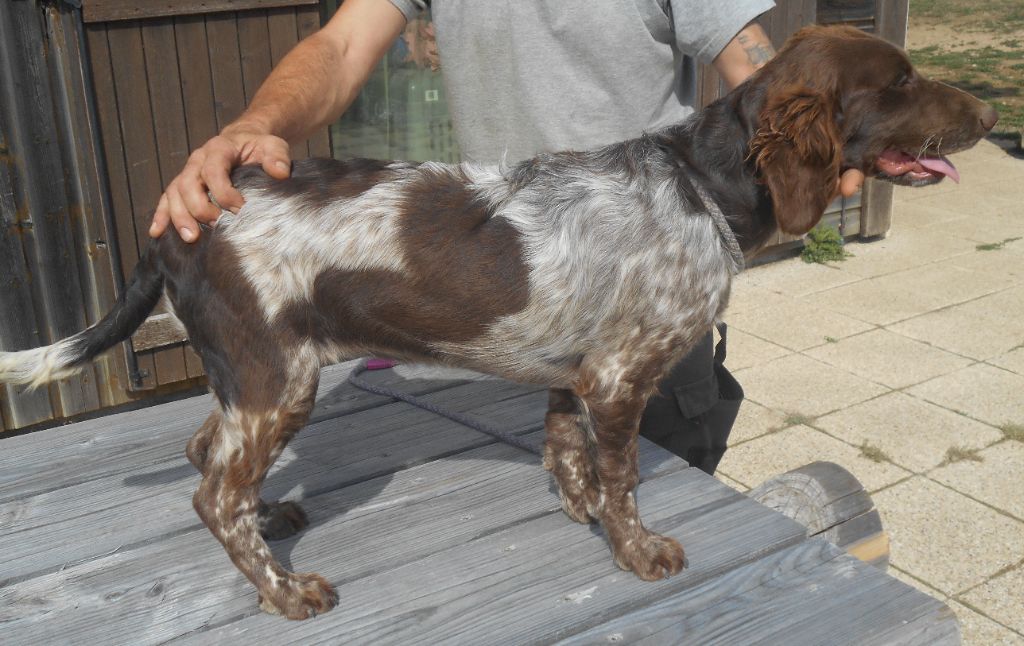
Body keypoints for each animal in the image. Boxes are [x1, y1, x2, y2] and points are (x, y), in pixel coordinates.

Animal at [0, 25, 997, 619]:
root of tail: (178, 221)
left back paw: (274, 513)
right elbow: (623, 478)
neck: (700, 185)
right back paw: (286, 591)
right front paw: (637, 553)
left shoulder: (578, 369)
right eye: (903, 81)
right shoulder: (620, 377)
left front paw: (579, 509)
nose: (991, 110)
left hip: (253, 378)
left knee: (206, 454)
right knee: (212, 493)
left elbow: (571, 452)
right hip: (278, 377)